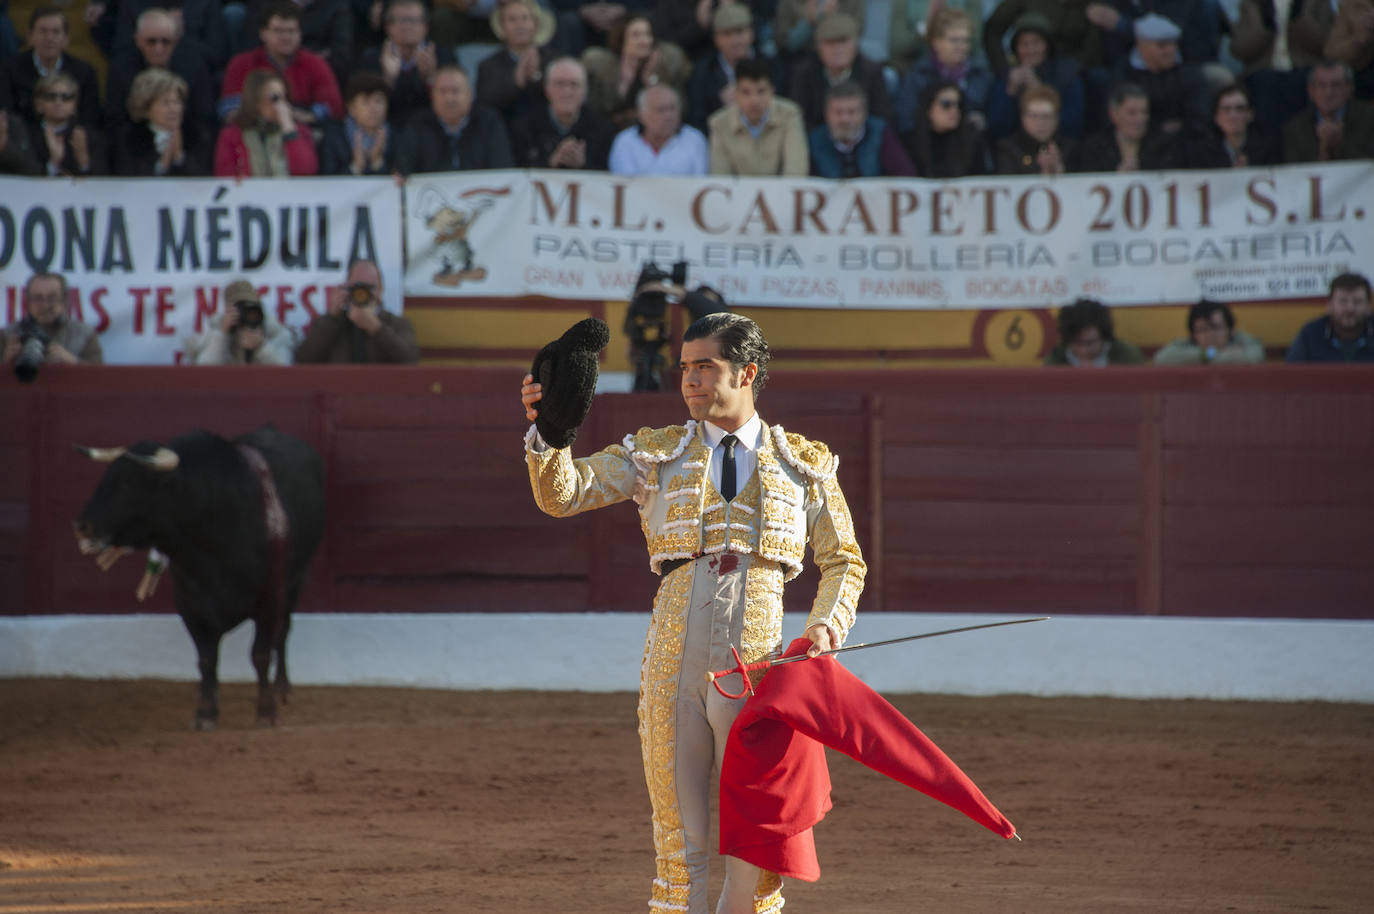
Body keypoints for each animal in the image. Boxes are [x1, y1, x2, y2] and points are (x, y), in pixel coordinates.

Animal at [74, 426, 324, 725]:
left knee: (283, 630)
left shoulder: (269, 597)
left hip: (296, 580)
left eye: (130, 483)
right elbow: (206, 658)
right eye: (105, 477)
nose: (83, 526)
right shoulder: (190, 604)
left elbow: (261, 653)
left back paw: (283, 688)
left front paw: (266, 711)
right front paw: (206, 712)